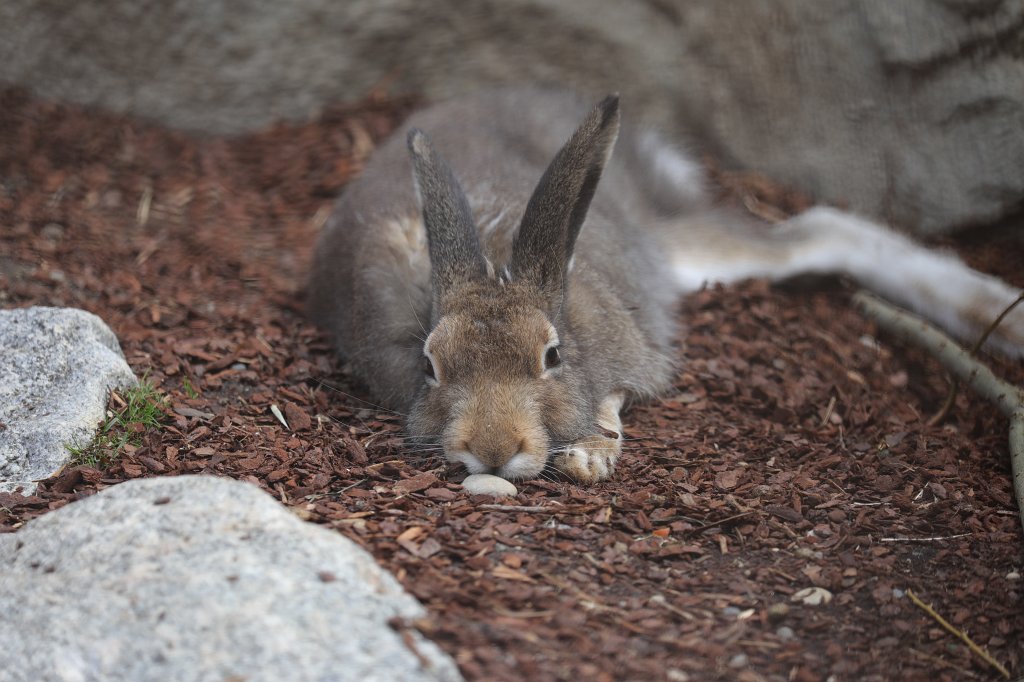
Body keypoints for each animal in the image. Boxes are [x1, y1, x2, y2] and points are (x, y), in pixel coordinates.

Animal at [308, 88, 1024, 484]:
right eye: (431, 366)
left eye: (553, 356)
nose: (492, 449)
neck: (496, 262)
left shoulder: (632, 340)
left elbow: (618, 393)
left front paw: (591, 455)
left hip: (686, 251)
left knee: (825, 230)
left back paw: (1003, 319)